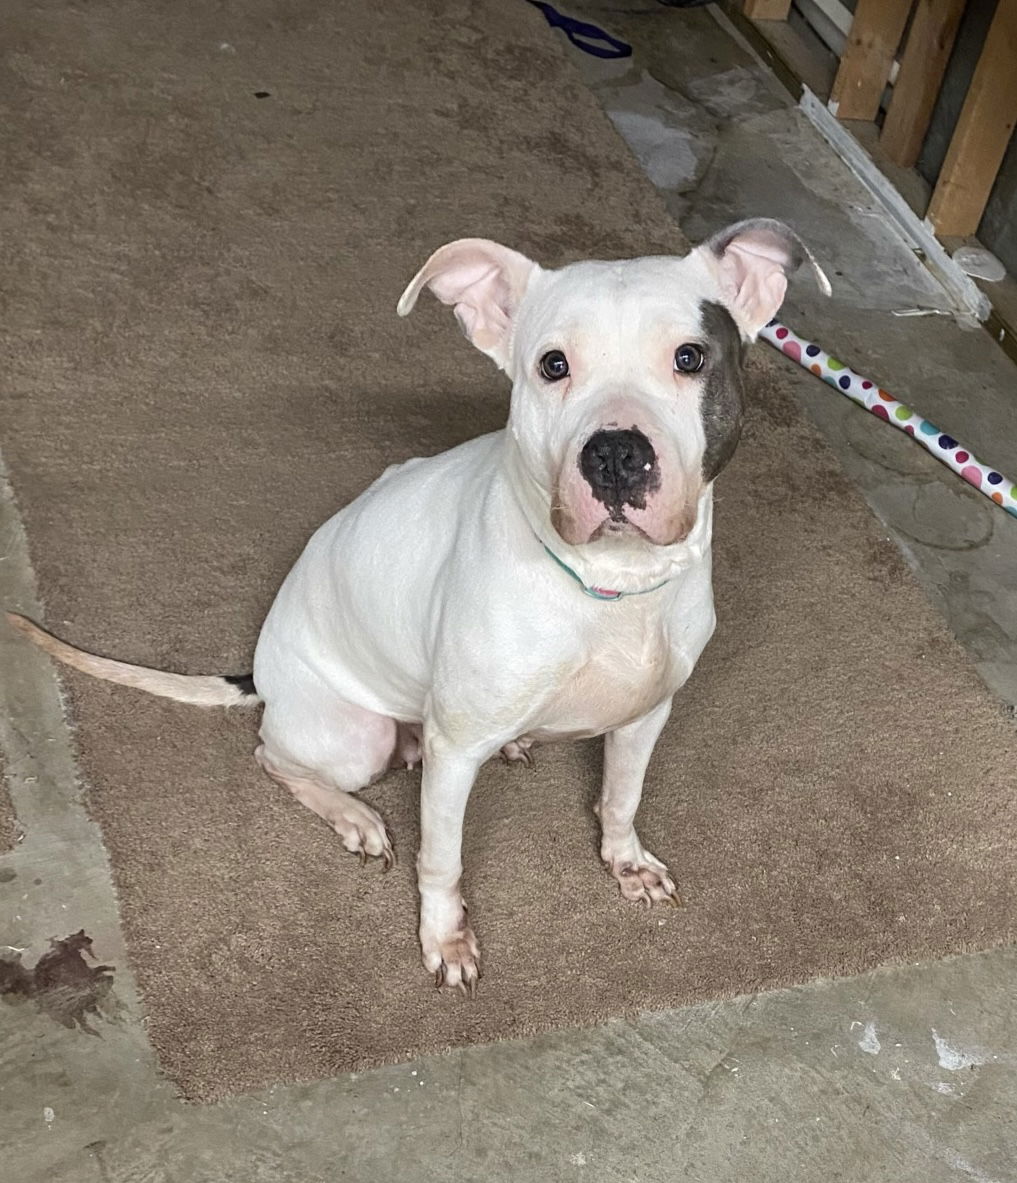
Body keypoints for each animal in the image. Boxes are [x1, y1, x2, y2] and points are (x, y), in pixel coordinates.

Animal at [9, 220, 827, 988]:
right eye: (552, 365)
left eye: (690, 358)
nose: (616, 453)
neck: (609, 587)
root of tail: (260, 672)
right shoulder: (454, 755)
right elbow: (443, 858)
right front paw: (445, 938)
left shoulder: (645, 716)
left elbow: (620, 799)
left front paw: (625, 861)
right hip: (355, 736)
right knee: (274, 755)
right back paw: (353, 815)